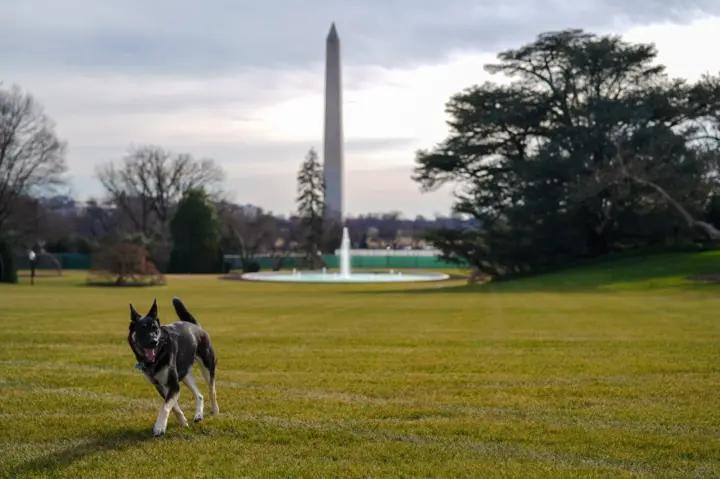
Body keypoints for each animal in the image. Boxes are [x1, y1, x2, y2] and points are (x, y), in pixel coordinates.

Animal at [129, 298, 218, 436]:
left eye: (155, 329)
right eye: (142, 329)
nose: (154, 341)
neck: (158, 355)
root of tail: (196, 326)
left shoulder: (173, 385)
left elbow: (165, 406)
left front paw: (159, 427)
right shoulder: (162, 386)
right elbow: (174, 406)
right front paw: (183, 422)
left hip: (207, 367)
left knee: (211, 389)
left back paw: (215, 410)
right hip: (185, 375)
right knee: (199, 395)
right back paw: (198, 415)